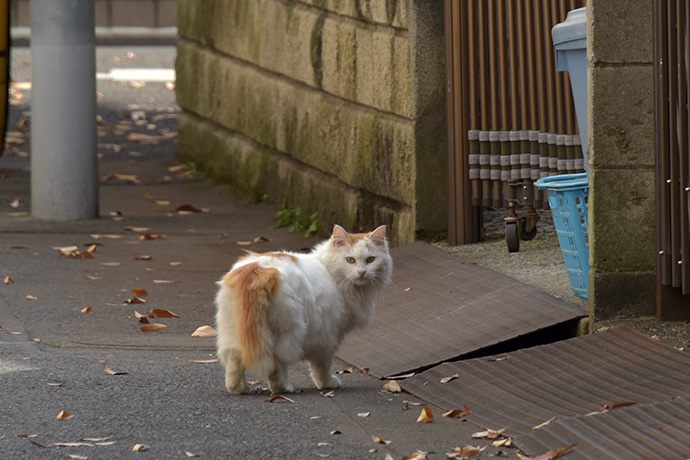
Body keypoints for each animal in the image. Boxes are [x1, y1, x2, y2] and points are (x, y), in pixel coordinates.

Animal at [215, 225, 390, 394]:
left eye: (370, 260)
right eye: (350, 260)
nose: (362, 272)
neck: (330, 272)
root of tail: (258, 269)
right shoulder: (327, 335)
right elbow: (322, 366)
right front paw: (327, 383)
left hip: (238, 332)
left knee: (234, 362)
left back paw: (239, 389)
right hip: (287, 333)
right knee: (276, 365)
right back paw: (284, 388)